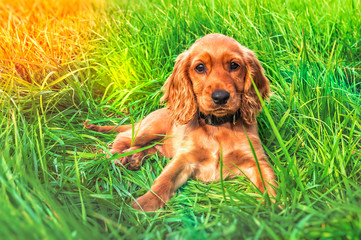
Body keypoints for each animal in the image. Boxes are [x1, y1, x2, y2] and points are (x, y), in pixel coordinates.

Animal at [84, 33, 276, 210]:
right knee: (123, 137)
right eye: (200, 67)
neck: (218, 126)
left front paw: (273, 208)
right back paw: (115, 156)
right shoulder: (184, 158)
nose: (220, 97)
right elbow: (164, 180)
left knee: (149, 148)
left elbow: (269, 182)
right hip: (149, 129)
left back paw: (134, 158)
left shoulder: (255, 159)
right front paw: (143, 206)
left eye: (234, 65)